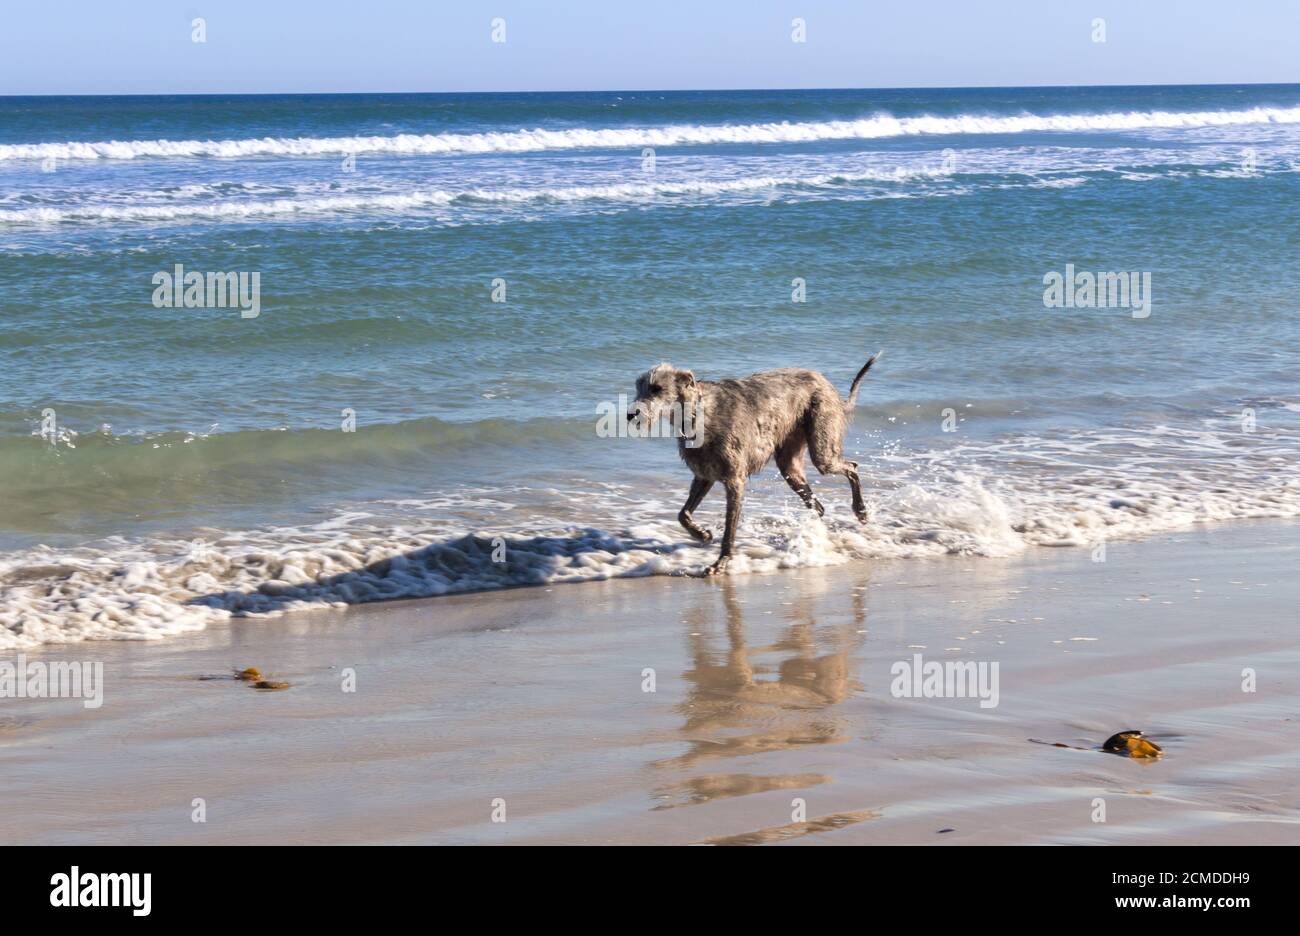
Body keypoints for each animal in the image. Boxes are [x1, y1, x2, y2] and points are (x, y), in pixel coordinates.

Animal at [624, 356, 878, 577]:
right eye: (639, 387)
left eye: (657, 388)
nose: (630, 415)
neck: (699, 413)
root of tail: (824, 381)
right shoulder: (705, 475)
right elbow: (683, 514)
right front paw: (703, 534)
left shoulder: (735, 481)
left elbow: (729, 530)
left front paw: (720, 563)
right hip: (790, 466)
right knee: (818, 505)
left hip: (822, 445)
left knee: (851, 467)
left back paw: (860, 510)